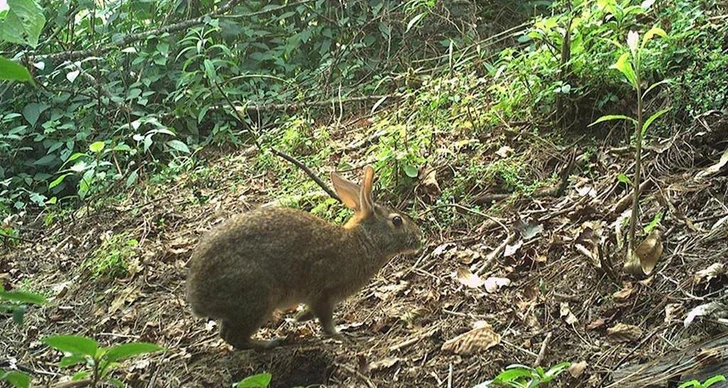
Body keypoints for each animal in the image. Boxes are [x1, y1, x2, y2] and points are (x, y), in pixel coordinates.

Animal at [185, 165, 420, 350]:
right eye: (397, 221)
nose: (419, 237)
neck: (363, 241)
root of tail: (197, 298)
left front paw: (299, 318)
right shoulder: (324, 294)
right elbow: (326, 322)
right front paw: (341, 336)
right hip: (258, 298)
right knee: (233, 336)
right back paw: (269, 343)